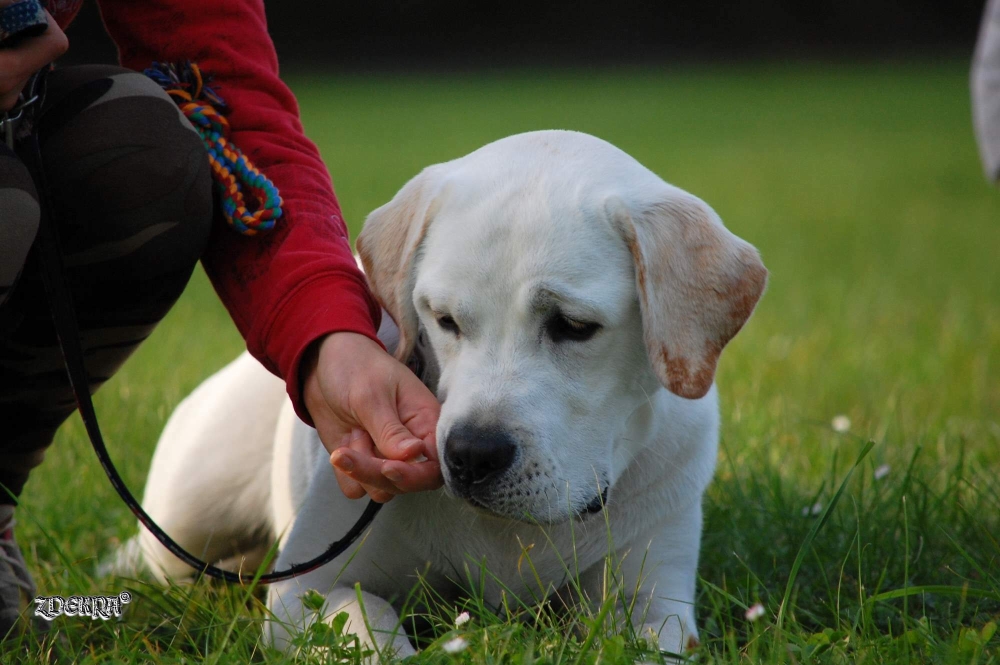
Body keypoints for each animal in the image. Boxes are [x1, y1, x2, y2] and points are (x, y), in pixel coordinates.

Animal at [109, 128, 764, 652]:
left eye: (574, 327)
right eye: (444, 319)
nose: (471, 455)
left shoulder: (652, 602)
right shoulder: (307, 590)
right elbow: (368, 625)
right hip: (188, 514)